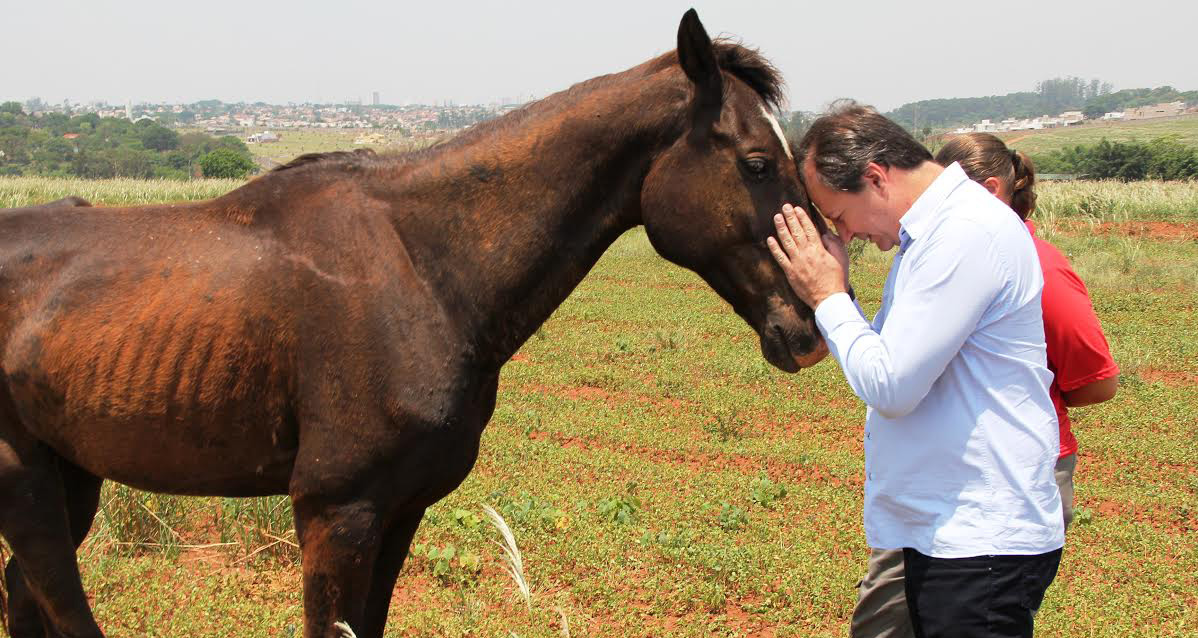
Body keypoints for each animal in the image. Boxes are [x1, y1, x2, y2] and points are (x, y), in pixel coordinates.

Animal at [0, 11, 824, 636]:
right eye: (756, 161)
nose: (811, 329)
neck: (423, 268)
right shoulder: (336, 513)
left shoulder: (400, 511)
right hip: (26, 479)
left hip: (72, 475)